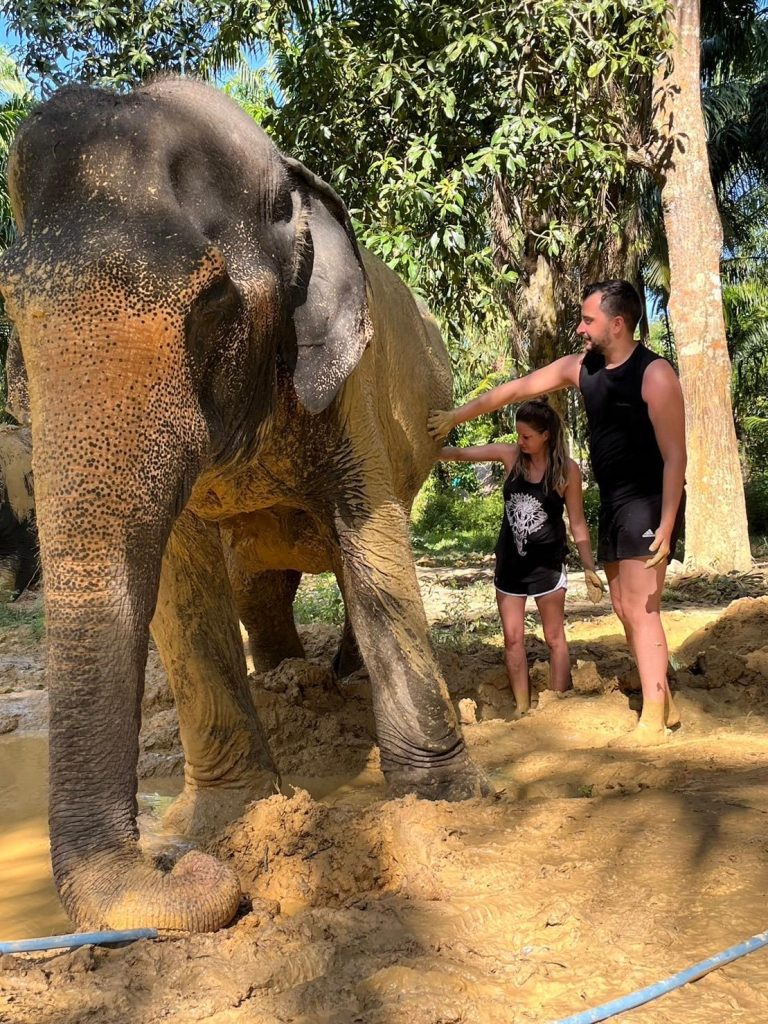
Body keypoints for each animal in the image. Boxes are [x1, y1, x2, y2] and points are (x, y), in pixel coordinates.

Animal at [0, 79, 489, 937]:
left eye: (211, 303)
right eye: (11, 311)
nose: (171, 861)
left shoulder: (351, 390)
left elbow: (373, 536)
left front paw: (442, 800)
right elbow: (180, 580)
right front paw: (222, 821)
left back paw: (338, 676)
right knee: (258, 585)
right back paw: (289, 676)